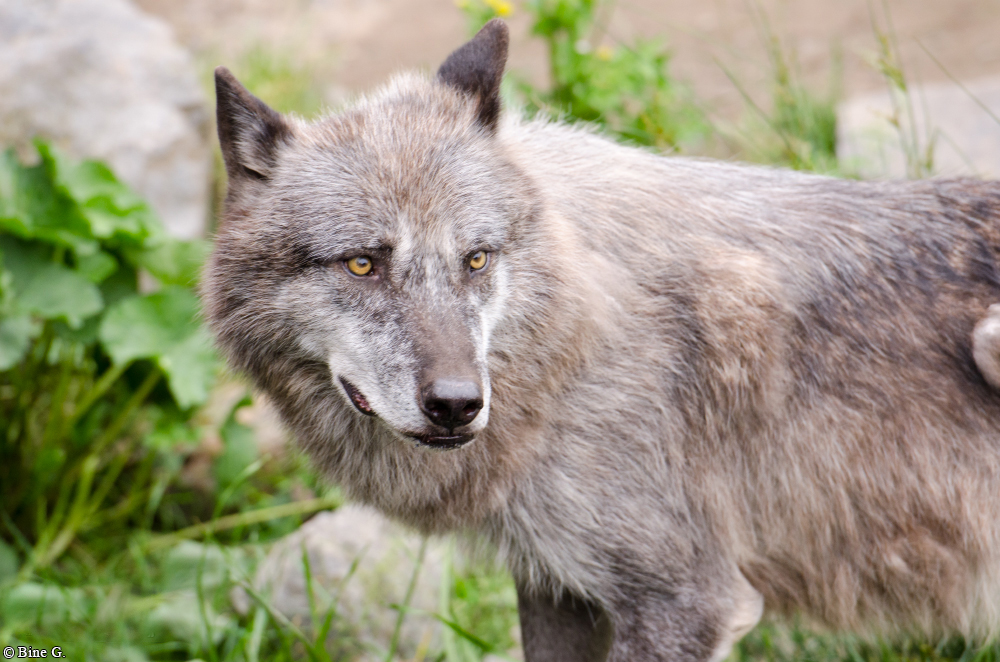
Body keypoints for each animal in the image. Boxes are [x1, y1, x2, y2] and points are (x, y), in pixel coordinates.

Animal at [203, 19, 1000, 662]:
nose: (458, 404)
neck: (569, 352)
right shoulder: (557, 584)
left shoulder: (687, 599)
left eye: (476, 259)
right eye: (363, 264)